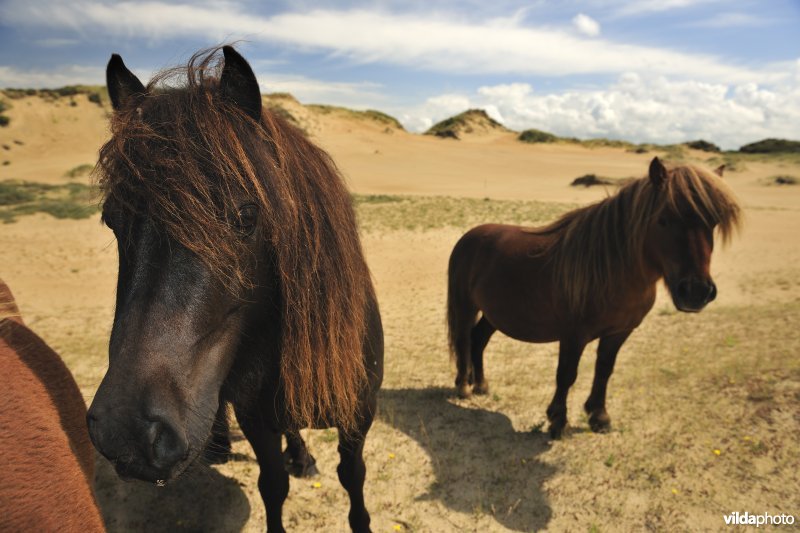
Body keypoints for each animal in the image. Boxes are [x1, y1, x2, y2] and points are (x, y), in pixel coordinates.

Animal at [86, 46, 384, 533]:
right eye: (112, 219)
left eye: (246, 216)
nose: (125, 431)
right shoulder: (256, 418)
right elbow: (273, 486)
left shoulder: (359, 413)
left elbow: (352, 477)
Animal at [447, 158, 740, 439]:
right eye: (664, 219)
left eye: (714, 222)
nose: (696, 292)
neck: (611, 271)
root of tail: (470, 235)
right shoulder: (573, 335)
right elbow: (566, 375)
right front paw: (558, 421)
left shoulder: (619, 332)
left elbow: (604, 370)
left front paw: (599, 417)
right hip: (465, 306)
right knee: (463, 340)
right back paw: (463, 386)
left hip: (493, 314)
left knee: (478, 340)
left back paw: (481, 385)